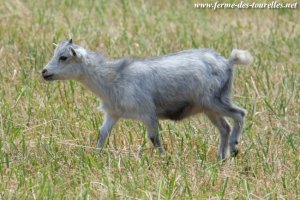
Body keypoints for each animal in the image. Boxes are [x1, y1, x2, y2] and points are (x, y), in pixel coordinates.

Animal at [42, 39, 252, 160]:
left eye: (63, 57)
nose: (44, 72)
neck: (113, 77)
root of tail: (227, 62)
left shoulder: (147, 113)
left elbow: (153, 137)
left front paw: (164, 159)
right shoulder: (113, 113)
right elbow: (103, 134)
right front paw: (96, 156)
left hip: (215, 100)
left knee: (240, 114)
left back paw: (234, 147)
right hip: (209, 108)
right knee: (224, 128)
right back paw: (221, 158)